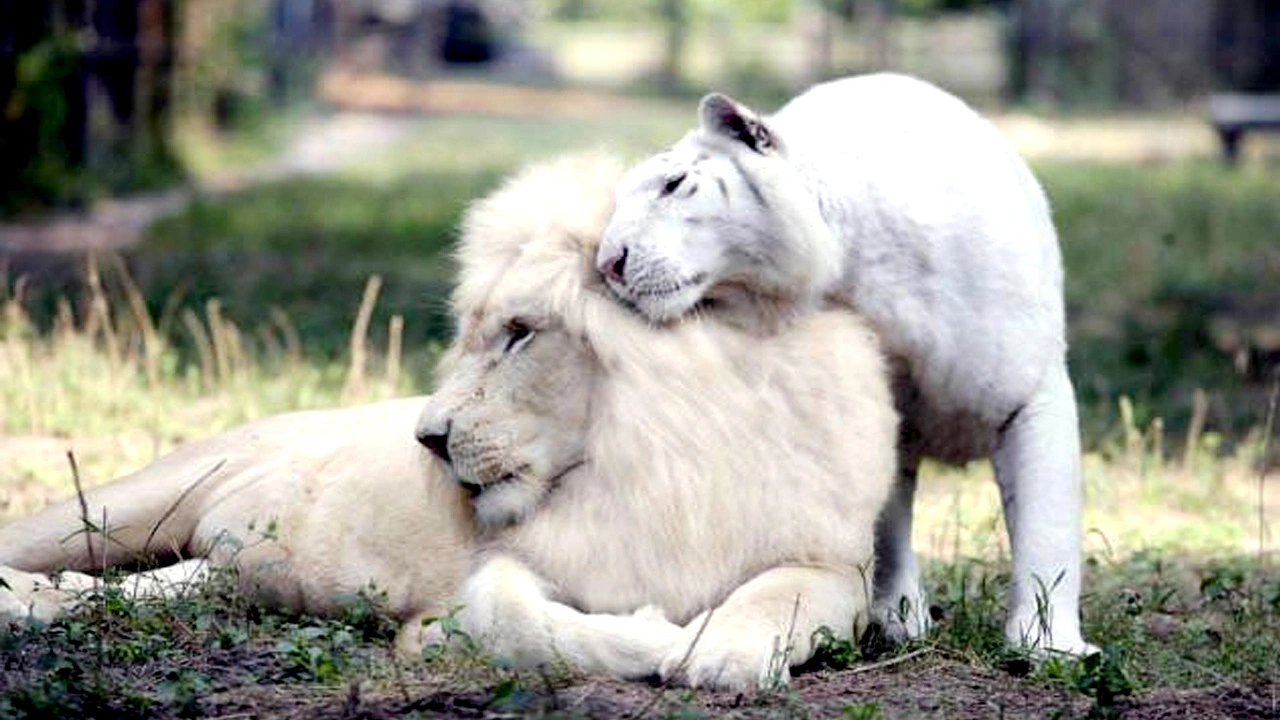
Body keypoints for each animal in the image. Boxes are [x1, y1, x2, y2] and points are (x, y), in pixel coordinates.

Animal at [0, 154, 901, 686]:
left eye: (520, 333)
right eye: (473, 333)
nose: (427, 440)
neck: (656, 458)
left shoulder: (833, 561)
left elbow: (774, 607)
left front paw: (719, 650)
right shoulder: (510, 568)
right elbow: (521, 623)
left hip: (218, 565)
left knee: (142, 586)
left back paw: (49, 600)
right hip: (128, 500)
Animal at [593, 74, 1095, 655]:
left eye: (673, 184)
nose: (608, 263)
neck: (855, 264)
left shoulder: (1031, 393)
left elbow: (1047, 524)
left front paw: (1048, 645)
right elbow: (886, 524)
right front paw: (897, 618)